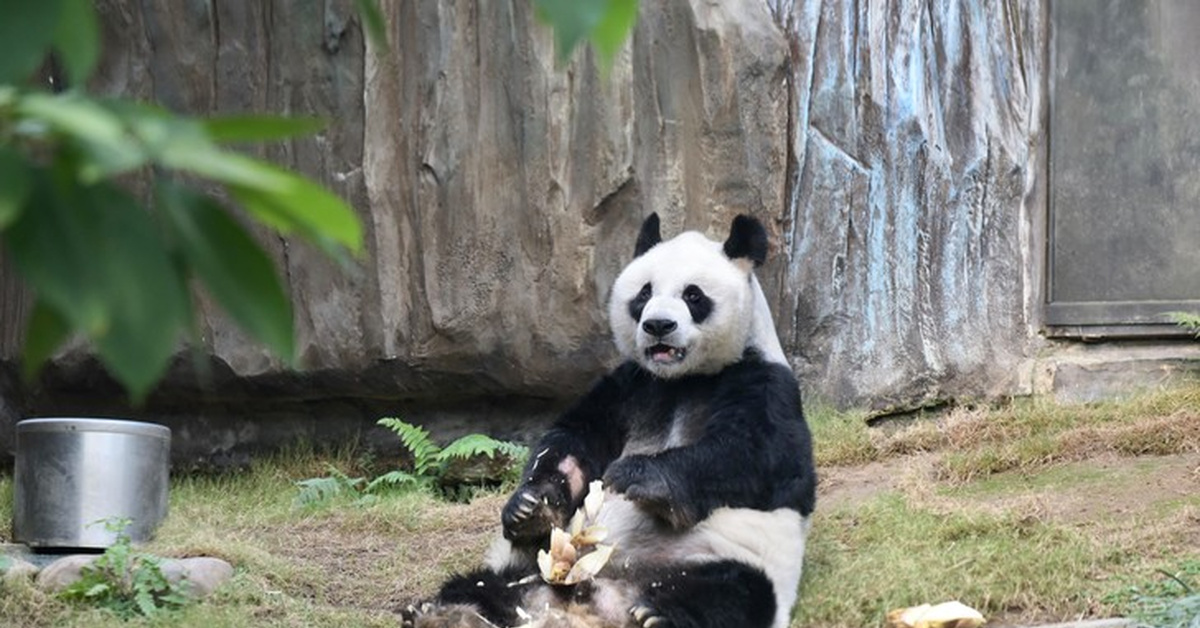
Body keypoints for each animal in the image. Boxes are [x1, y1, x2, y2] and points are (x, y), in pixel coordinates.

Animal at [403, 213, 816, 624]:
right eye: (644, 294)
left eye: (693, 295)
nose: (658, 325)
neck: (682, 381)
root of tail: (595, 601)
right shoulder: (629, 386)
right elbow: (573, 442)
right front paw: (530, 509)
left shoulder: (763, 382)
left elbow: (760, 456)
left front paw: (638, 476)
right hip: (525, 570)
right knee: (479, 584)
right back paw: (445, 612)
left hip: (721, 557)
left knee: (733, 593)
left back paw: (658, 615)